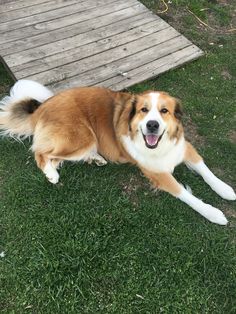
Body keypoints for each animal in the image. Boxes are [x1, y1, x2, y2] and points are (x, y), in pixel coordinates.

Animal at [0, 79, 235, 224]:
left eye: (164, 111)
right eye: (143, 110)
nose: (152, 125)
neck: (159, 146)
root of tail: (42, 107)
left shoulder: (184, 147)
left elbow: (206, 171)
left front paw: (225, 189)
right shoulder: (157, 174)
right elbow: (186, 195)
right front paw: (213, 213)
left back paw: (94, 159)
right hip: (83, 137)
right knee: (41, 153)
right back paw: (52, 173)